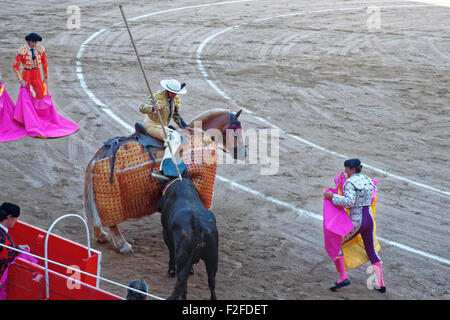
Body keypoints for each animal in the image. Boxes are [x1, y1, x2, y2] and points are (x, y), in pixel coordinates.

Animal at [84, 109, 246, 254]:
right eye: (236, 132)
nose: (244, 153)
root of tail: (97, 157)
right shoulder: (201, 182)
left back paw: (102, 236)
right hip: (112, 196)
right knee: (112, 222)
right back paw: (123, 245)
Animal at [156, 172, 218, 300]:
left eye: (162, 192)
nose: (157, 207)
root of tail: (197, 225)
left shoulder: (166, 234)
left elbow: (171, 253)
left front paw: (171, 271)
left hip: (183, 256)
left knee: (182, 282)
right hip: (213, 257)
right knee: (212, 281)